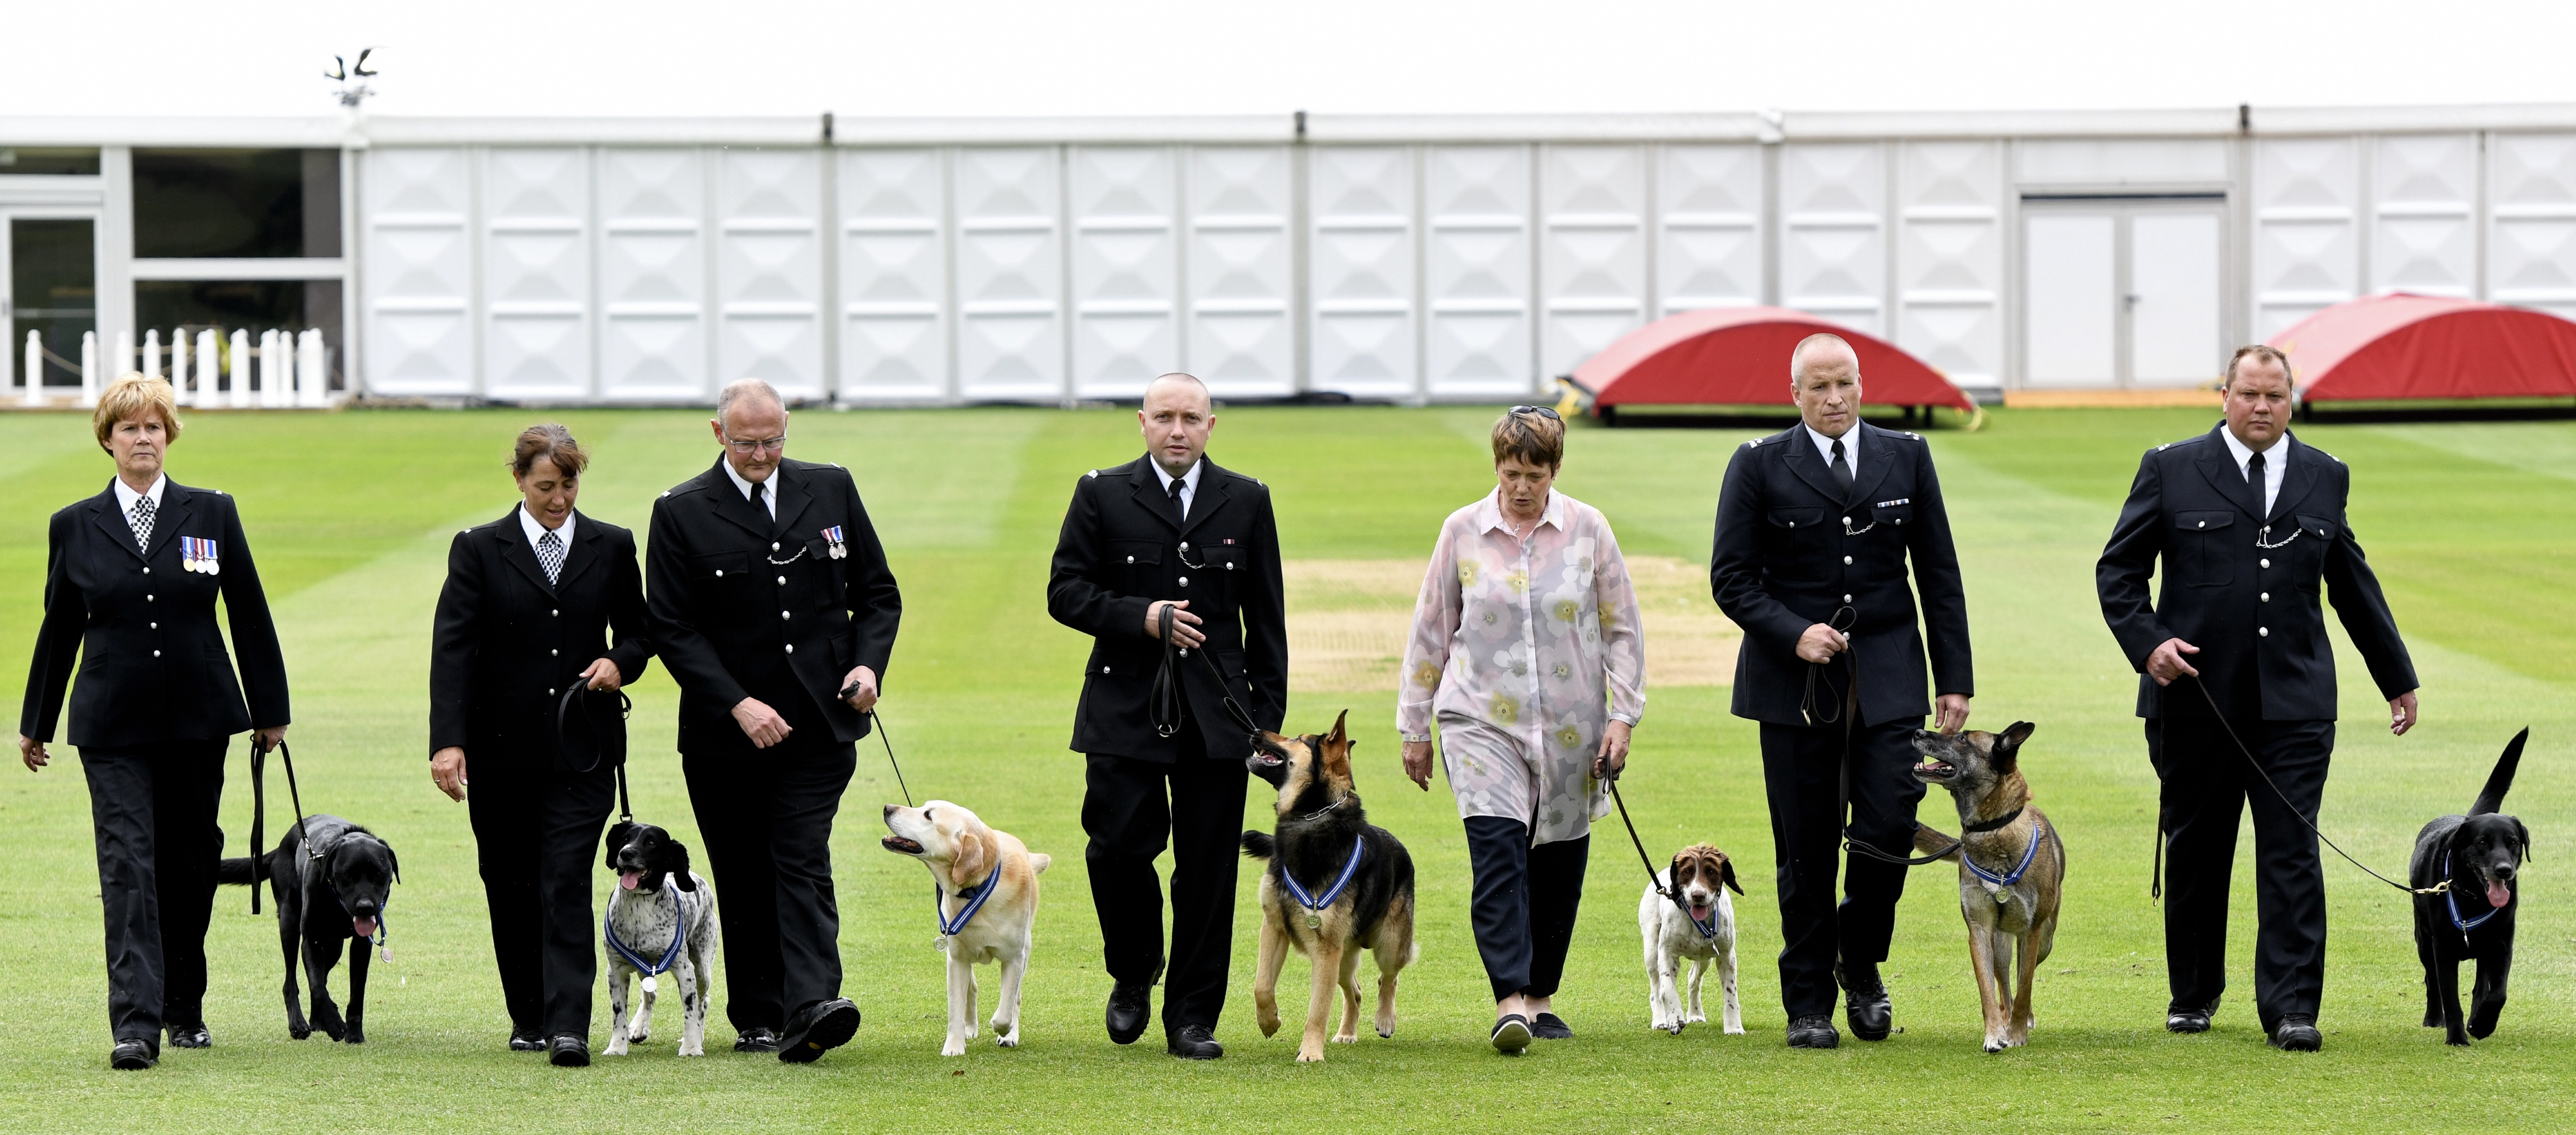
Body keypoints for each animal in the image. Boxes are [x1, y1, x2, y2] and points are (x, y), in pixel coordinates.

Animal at [220, 808, 396, 1040]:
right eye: (346, 874)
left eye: (379, 873)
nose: (365, 907)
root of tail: (283, 844)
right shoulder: (310, 941)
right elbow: (317, 987)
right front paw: (334, 1023)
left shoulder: (361, 945)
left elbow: (354, 993)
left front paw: (354, 1035)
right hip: (289, 924)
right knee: (291, 982)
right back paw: (299, 1024)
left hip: (334, 946)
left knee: (323, 975)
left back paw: (317, 1021)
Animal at [1236, 710, 1422, 1060]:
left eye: (1297, 738)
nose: (1255, 730)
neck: (1310, 820)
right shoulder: (1274, 928)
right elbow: (1261, 986)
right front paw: (1269, 1021)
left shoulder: (1325, 950)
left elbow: (1318, 1009)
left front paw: (1311, 1052)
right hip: (1344, 956)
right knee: (1356, 991)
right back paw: (1347, 1032)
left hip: (1388, 943)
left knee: (1388, 979)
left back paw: (1385, 1018)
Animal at [1916, 720, 2071, 1050]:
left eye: (1963, 739)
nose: (1917, 733)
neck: (1994, 829)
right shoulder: (1979, 930)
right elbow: (1987, 989)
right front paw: (1995, 1034)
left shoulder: (2031, 931)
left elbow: (2025, 986)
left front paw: (2017, 1034)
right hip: (2000, 944)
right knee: (2004, 984)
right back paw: (2005, 1018)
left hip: (2044, 941)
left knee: (2022, 979)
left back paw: (2020, 1020)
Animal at [2411, 730, 2535, 1040]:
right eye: (2482, 842)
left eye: (2513, 842)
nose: (2504, 870)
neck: (2474, 898)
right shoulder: (2442, 947)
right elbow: (2449, 995)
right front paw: (2457, 1037)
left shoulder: (2502, 944)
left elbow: (2497, 993)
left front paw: (2481, 1024)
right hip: (2423, 940)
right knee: (2431, 981)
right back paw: (2434, 1018)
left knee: (2482, 985)